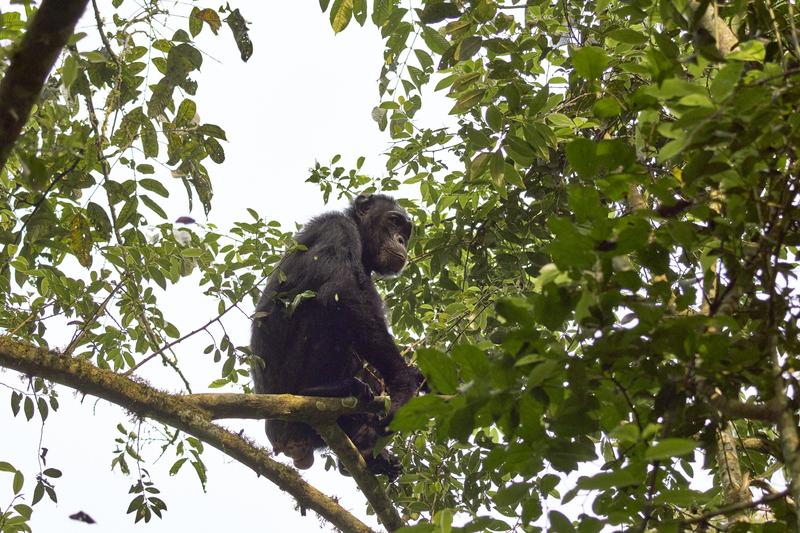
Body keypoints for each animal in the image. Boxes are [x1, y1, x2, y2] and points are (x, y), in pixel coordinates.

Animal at [252, 193, 422, 476]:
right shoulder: (337, 229)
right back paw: (323, 391)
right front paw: (404, 382)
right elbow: (342, 291)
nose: (400, 240)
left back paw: (365, 448)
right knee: (326, 312)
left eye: (406, 232)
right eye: (394, 221)